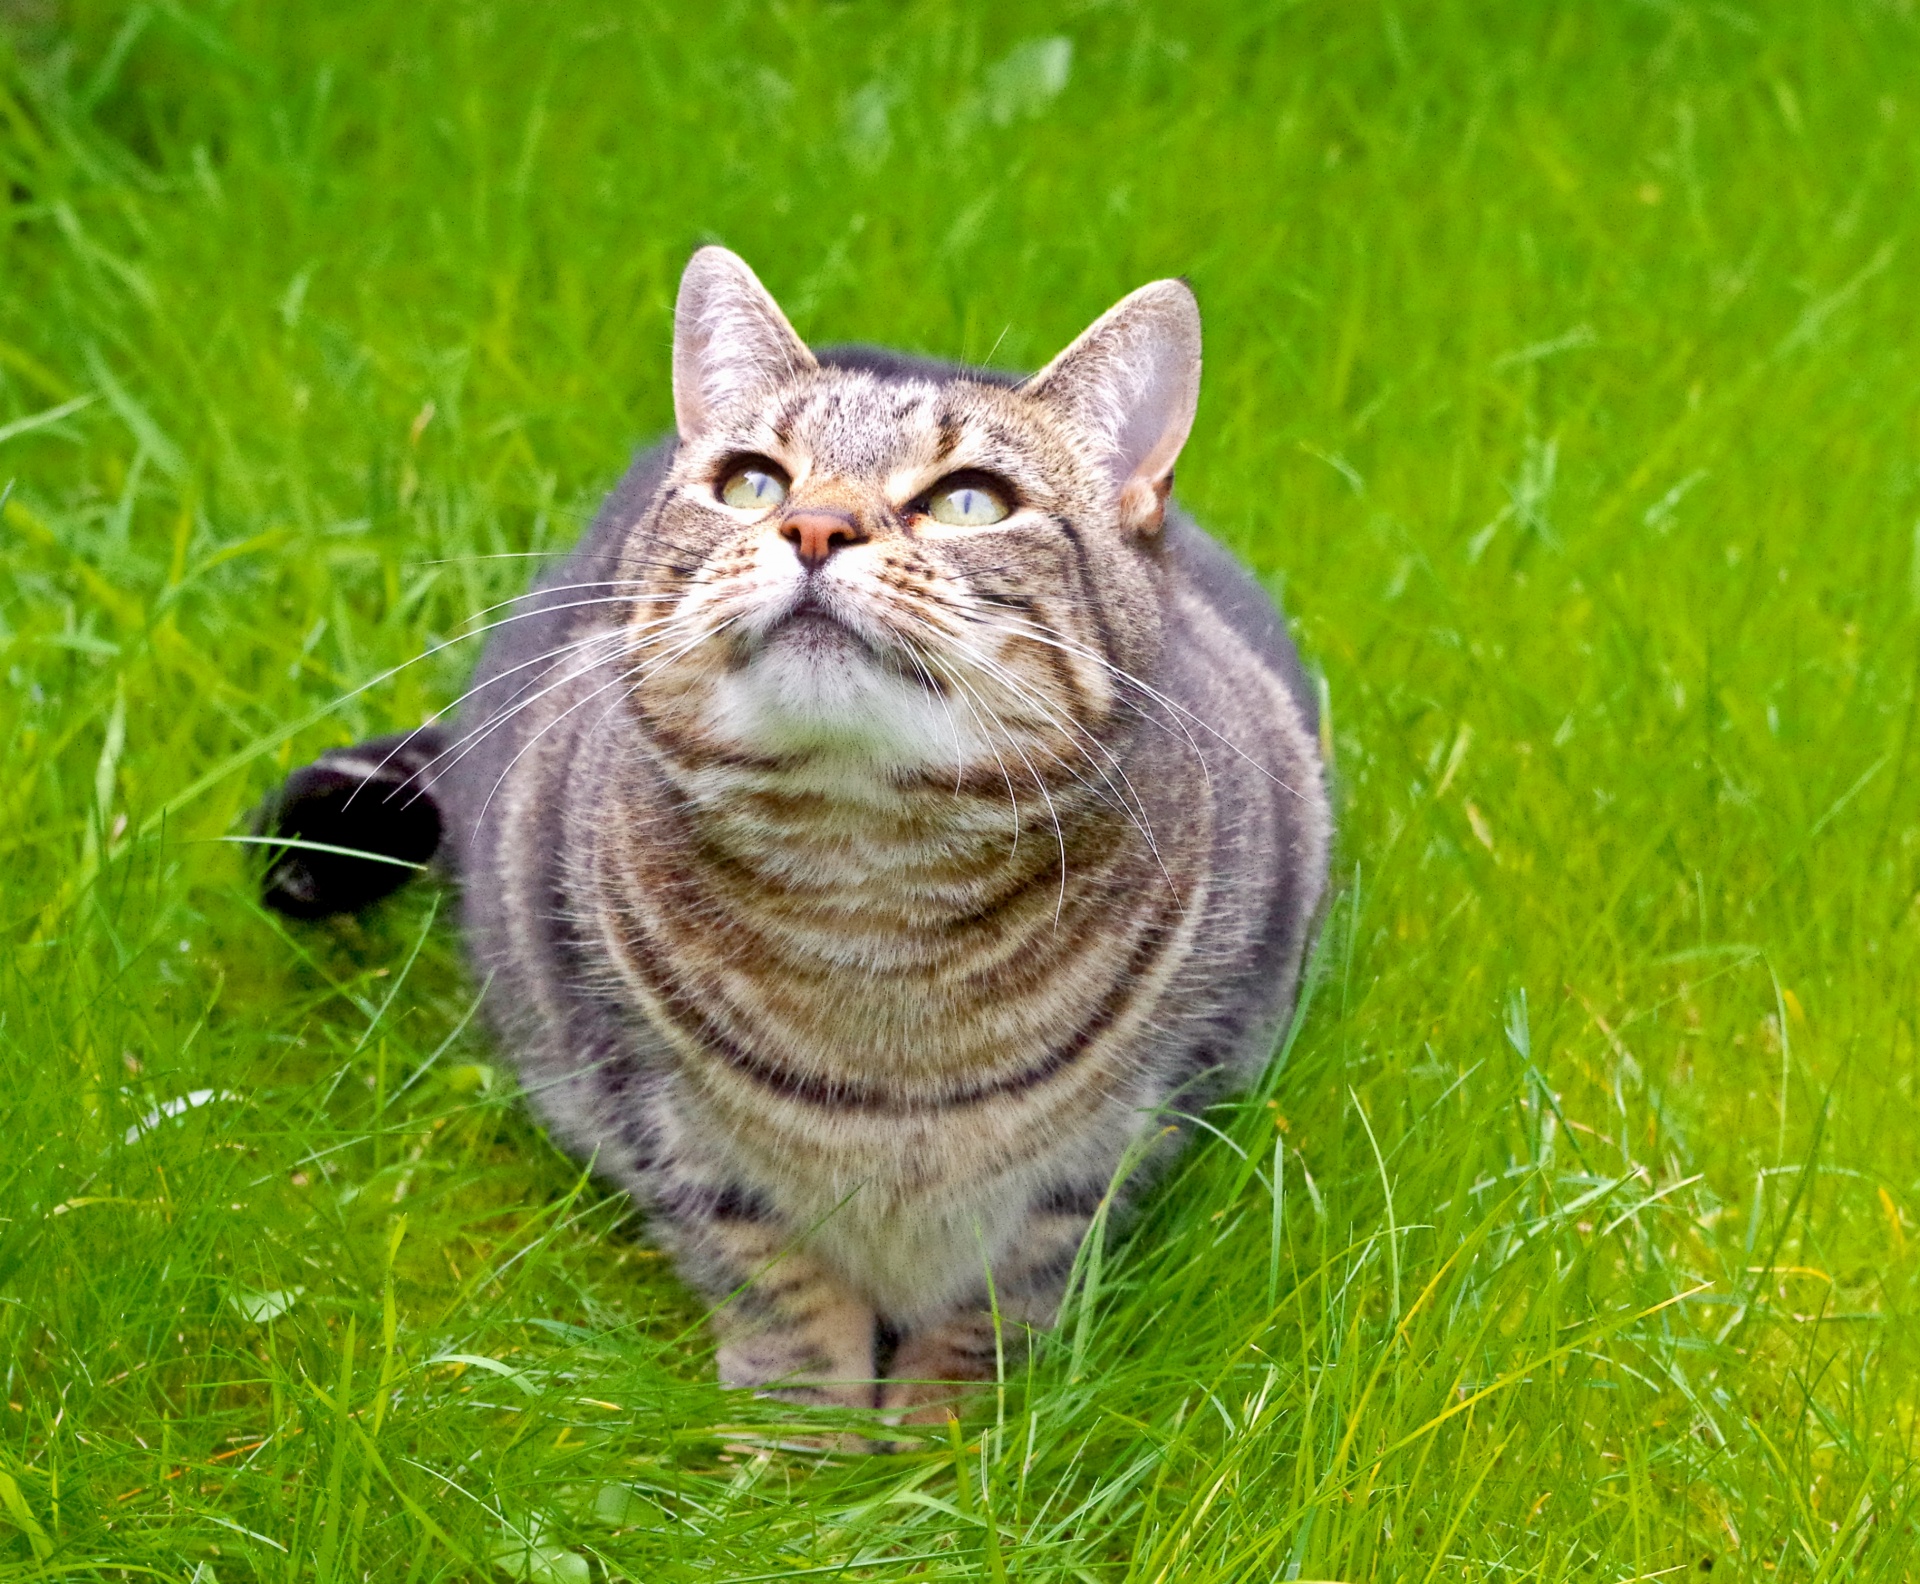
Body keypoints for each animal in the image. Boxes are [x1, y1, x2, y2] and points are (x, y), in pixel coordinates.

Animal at [263, 247, 1328, 1420]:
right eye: (753, 483)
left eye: (969, 501)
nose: (815, 527)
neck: (869, 881)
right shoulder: (661, 1119)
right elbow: (781, 1291)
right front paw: (800, 1443)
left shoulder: (1129, 1131)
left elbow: (1000, 1300)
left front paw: (944, 1438)